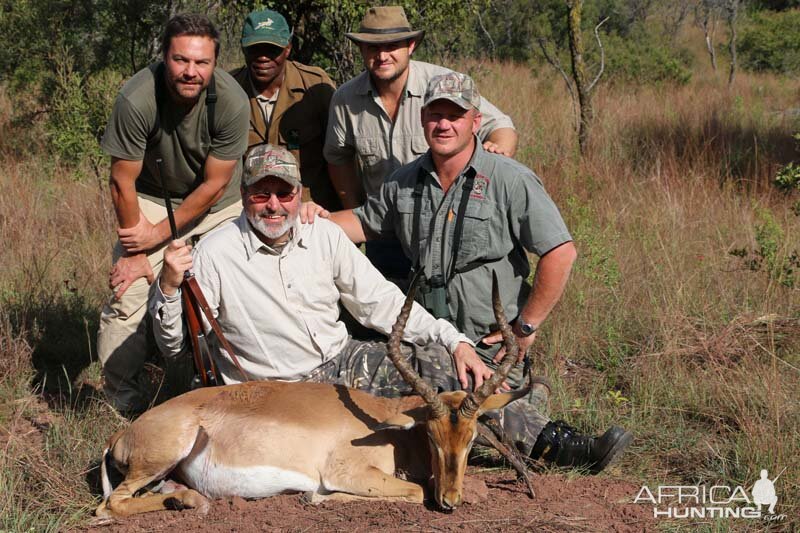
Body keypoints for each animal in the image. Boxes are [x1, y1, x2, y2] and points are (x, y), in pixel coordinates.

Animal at [95, 274, 532, 516]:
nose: (451, 501)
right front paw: (317, 499)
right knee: (109, 506)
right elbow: (414, 489)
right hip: (162, 456)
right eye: (431, 435)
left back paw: (189, 501)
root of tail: (122, 435)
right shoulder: (346, 472)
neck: (389, 429)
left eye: (471, 438)